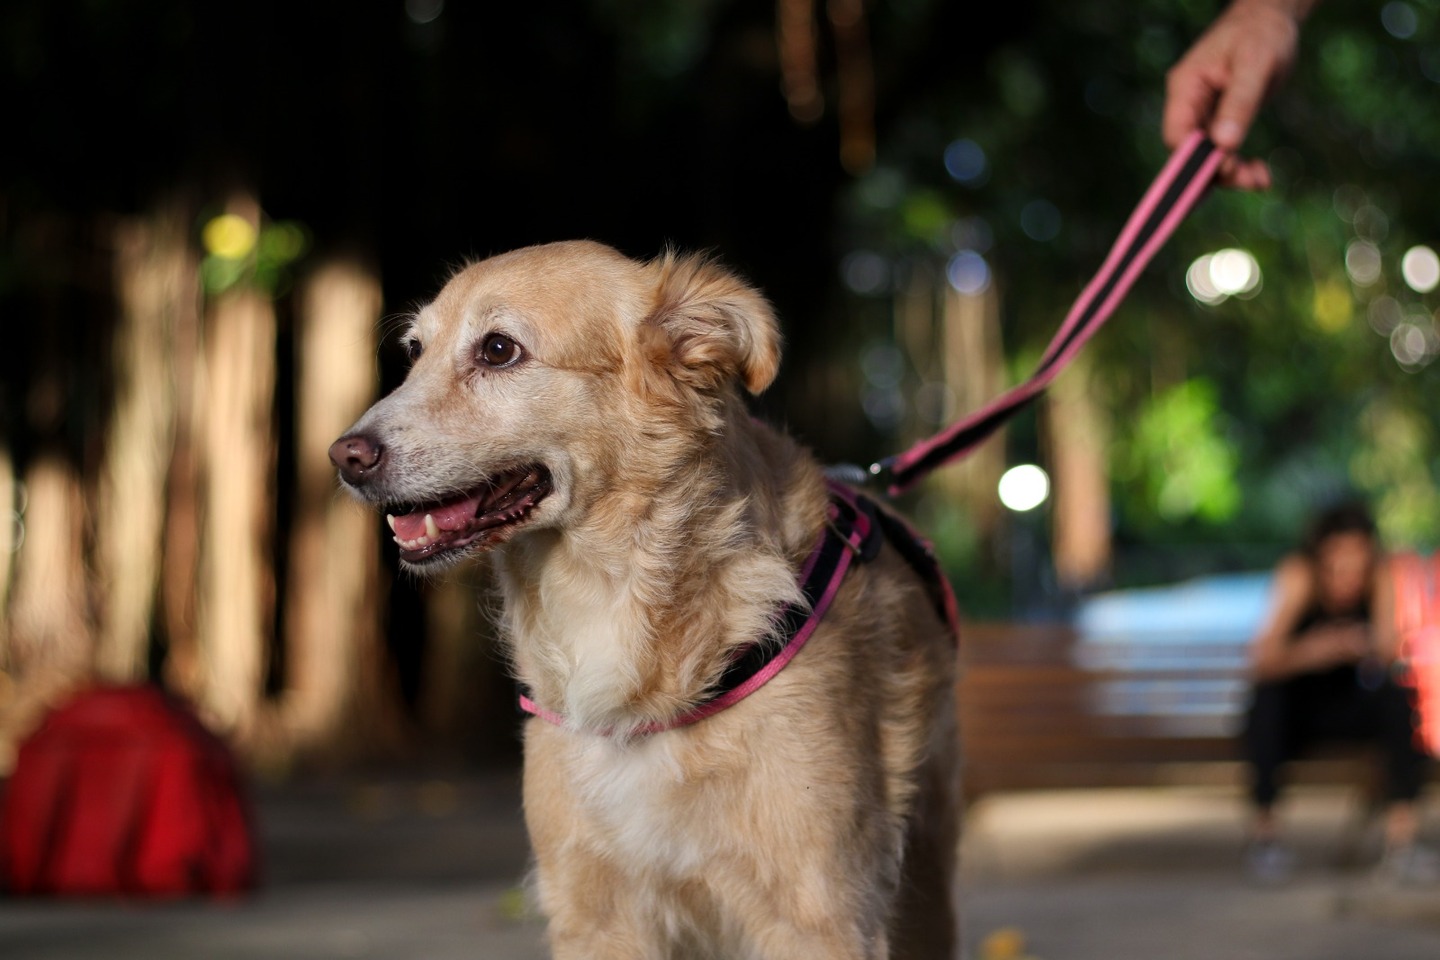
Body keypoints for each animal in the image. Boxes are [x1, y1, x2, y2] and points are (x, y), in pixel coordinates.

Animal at [331, 241, 961, 960]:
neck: (614, 606)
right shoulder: (595, 916)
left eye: (497, 350)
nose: (343, 456)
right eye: (415, 350)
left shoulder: (821, 915)